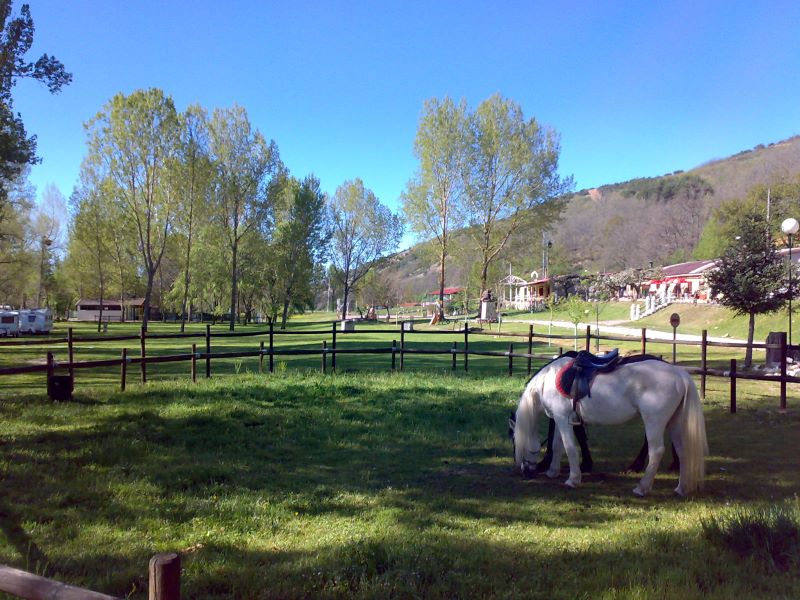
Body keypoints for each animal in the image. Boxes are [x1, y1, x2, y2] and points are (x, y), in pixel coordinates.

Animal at [512, 356, 708, 496]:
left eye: (515, 442)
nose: (524, 472)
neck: (549, 379)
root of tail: (679, 374)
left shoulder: (562, 419)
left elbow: (569, 448)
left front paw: (573, 479)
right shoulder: (561, 420)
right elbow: (557, 445)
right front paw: (552, 472)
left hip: (654, 422)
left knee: (656, 451)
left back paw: (642, 488)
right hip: (674, 423)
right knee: (682, 451)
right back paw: (681, 488)